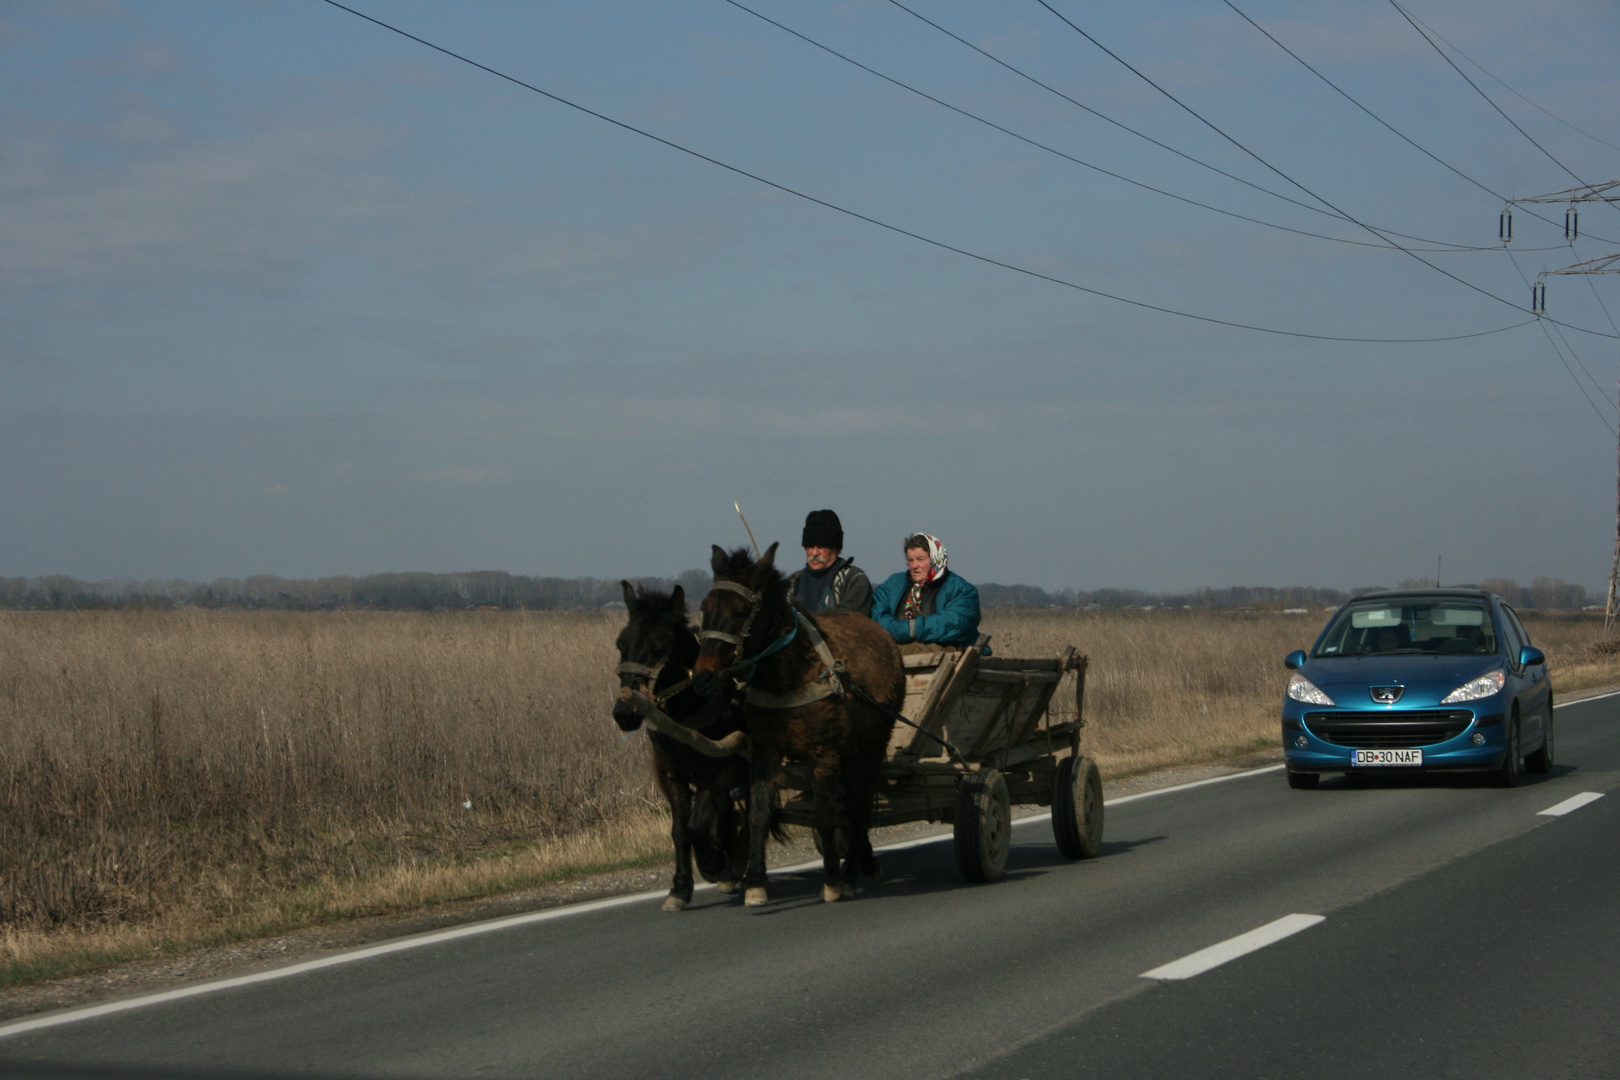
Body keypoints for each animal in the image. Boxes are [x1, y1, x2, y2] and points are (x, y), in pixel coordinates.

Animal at [612, 582, 751, 913]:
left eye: (660, 647)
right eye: (621, 644)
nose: (624, 713)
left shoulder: (721, 767)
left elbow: (696, 826)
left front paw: (713, 862)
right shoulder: (671, 772)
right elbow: (679, 829)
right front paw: (680, 887)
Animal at [690, 544, 907, 906]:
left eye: (740, 611)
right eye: (706, 606)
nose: (704, 675)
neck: (790, 674)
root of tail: (884, 638)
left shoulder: (824, 755)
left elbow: (824, 815)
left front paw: (832, 881)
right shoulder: (765, 751)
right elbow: (759, 812)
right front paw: (755, 883)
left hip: (870, 747)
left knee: (859, 806)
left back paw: (850, 873)